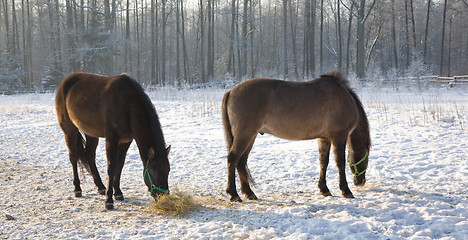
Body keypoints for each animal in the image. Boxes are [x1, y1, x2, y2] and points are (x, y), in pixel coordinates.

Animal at [54, 73, 171, 210]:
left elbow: (119, 165)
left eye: (168, 171)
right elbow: (111, 166)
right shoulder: (111, 139)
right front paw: (109, 200)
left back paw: (100, 187)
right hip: (69, 130)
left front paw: (118, 192)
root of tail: (65, 82)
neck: (128, 105)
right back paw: (77, 189)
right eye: (154, 172)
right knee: (73, 157)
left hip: (91, 134)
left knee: (90, 156)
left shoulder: (126, 141)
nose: (164, 198)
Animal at [221, 70, 372, 202]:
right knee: (233, 159)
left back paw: (249, 193)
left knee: (241, 161)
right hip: (244, 136)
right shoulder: (339, 137)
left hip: (250, 137)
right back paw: (234, 194)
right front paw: (346, 190)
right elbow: (340, 163)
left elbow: (323, 162)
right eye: (366, 159)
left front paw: (324, 189)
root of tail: (231, 91)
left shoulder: (324, 139)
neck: (343, 98)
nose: (360, 182)